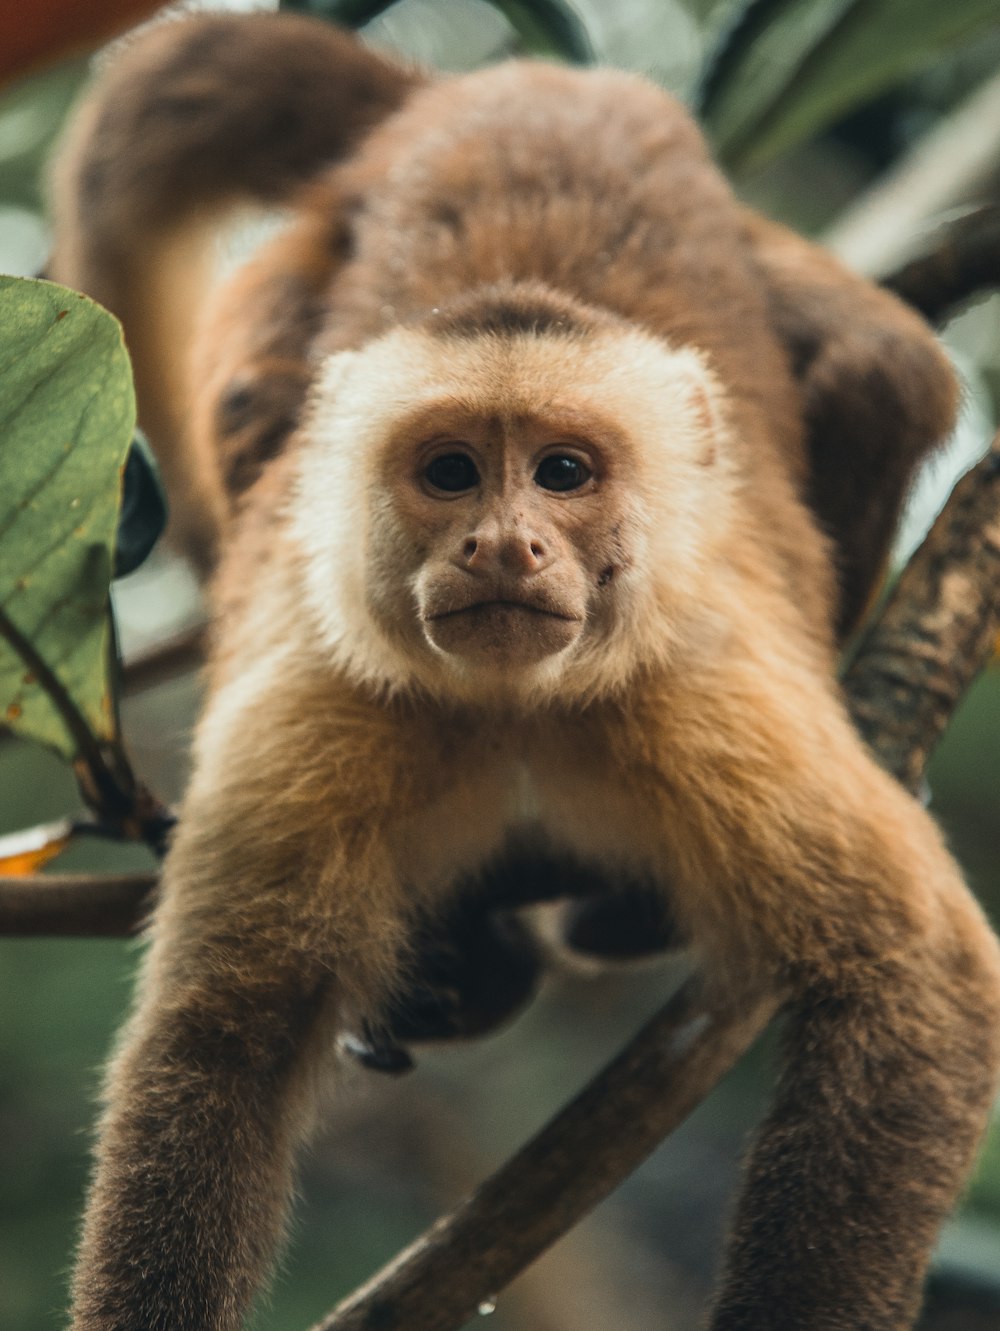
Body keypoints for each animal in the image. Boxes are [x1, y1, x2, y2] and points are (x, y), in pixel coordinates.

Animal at [50, 12, 1000, 1331]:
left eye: (561, 472)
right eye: (451, 472)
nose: (505, 544)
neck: (513, 714)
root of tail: (518, 89)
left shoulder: (700, 692)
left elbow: (918, 983)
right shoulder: (321, 702)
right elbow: (217, 1040)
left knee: (884, 371)